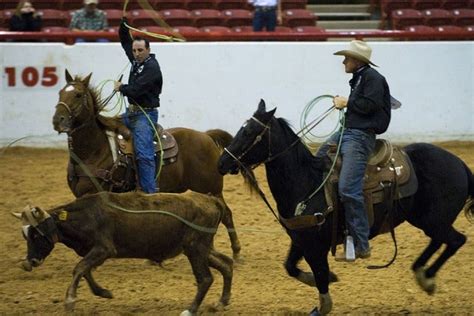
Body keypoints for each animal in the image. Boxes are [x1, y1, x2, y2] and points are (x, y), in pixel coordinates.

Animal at [12, 190, 231, 314]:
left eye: (37, 234)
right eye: (25, 235)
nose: (28, 263)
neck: (86, 216)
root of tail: (211, 201)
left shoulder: (104, 248)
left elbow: (79, 268)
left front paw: (70, 300)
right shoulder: (93, 252)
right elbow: (85, 270)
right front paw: (103, 292)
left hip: (196, 249)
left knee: (205, 279)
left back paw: (191, 310)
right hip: (201, 249)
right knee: (226, 264)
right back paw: (221, 302)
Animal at [52, 71, 241, 260]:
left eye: (78, 95)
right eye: (60, 93)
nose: (57, 120)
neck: (95, 149)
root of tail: (206, 135)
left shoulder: (93, 193)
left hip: (212, 188)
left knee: (227, 214)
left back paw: (236, 251)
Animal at [217, 100, 472, 314]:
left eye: (249, 132)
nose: (222, 162)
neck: (307, 182)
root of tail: (461, 165)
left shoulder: (315, 246)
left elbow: (320, 282)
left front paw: (324, 293)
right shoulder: (300, 239)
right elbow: (290, 267)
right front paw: (328, 277)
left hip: (433, 219)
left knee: (456, 240)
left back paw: (427, 276)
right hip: (425, 219)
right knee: (440, 240)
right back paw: (422, 273)